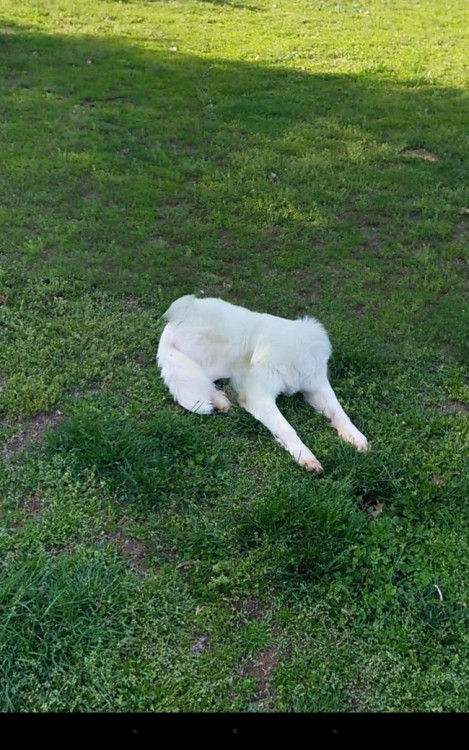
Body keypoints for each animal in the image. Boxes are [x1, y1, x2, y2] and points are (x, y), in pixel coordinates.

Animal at [158, 296, 370, 472]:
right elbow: (286, 427)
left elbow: (339, 411)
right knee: (200, 376)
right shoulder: (259, 397)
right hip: (220, 358)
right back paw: (219, 399)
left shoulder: (317, 385)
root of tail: (174, 320)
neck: (291, 359)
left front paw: (355, 436)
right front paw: (305, 456)